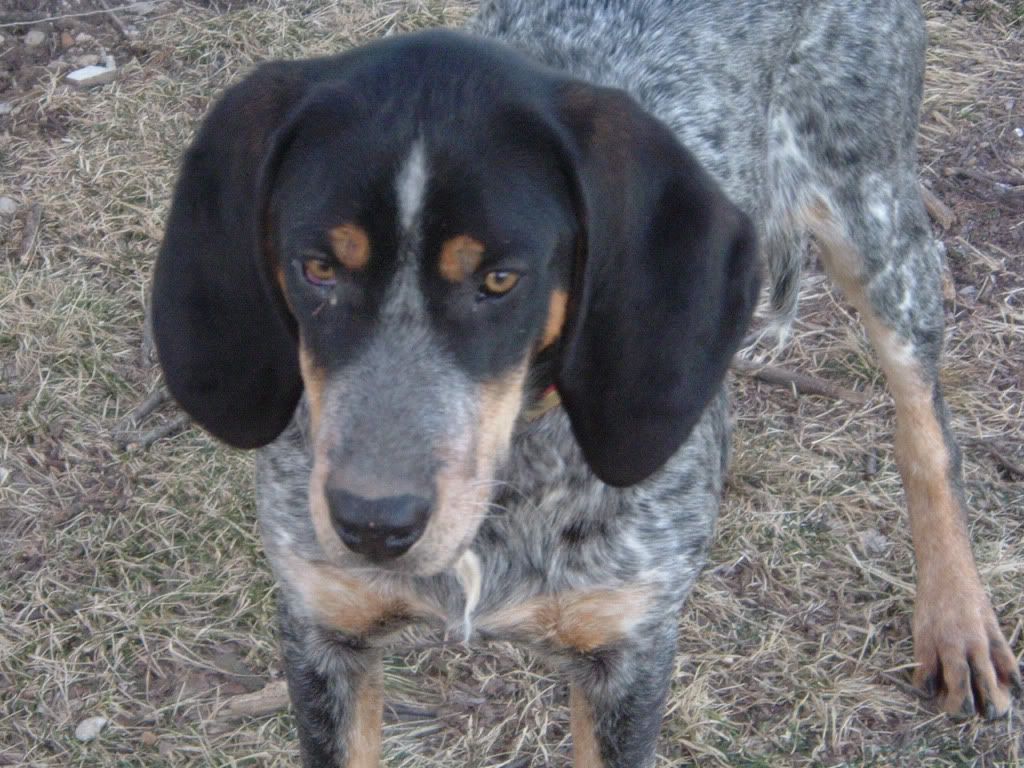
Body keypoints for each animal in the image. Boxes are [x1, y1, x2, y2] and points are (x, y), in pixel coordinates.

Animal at [151, 0, 1020, 764]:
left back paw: (958, 618)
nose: (373, 524)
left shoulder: (626, 657)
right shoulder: (325, 637)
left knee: (925, 427)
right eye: (318, 268)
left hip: (876, 222)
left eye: (501, 279)